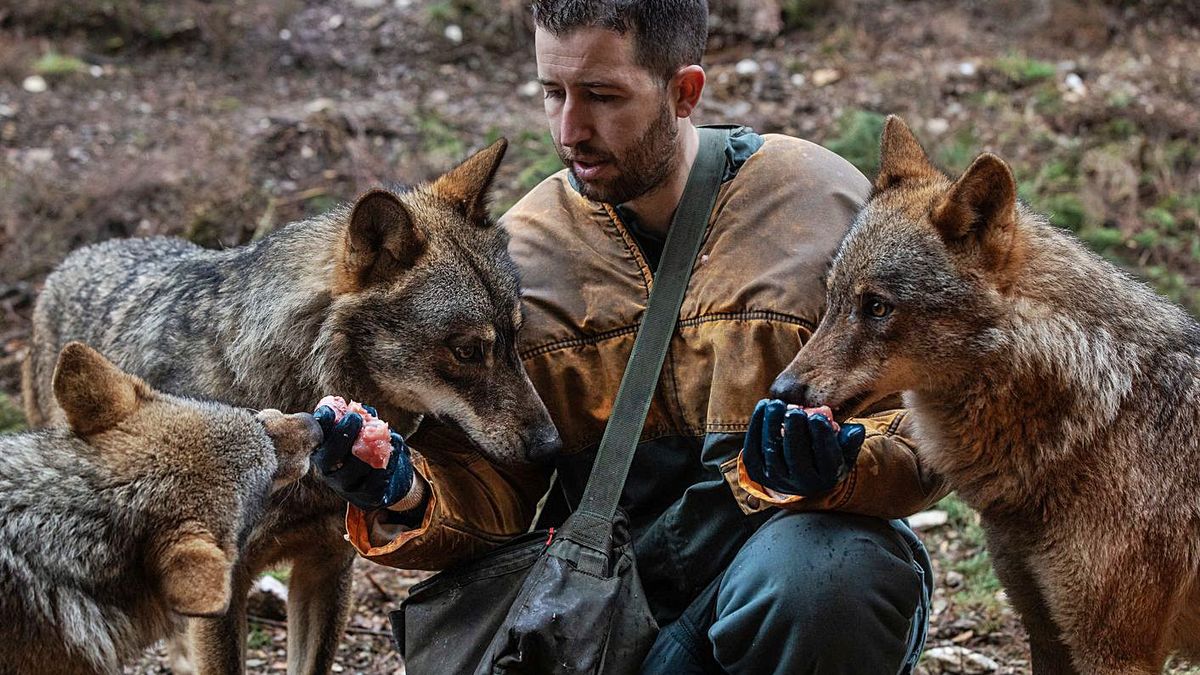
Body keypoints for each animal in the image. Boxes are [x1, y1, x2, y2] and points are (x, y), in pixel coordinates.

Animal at [768, 117, 1200, 672]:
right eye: (834, 299)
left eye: (877, 307)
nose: (781, 389)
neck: (1103, 411)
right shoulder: (1045, 629)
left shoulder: (1114, 652)